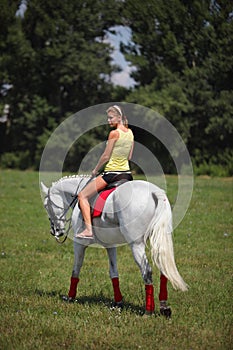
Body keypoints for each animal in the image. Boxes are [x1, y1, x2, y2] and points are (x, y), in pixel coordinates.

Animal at [41, 176, 188, 316]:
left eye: (46, 206)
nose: (55, 231)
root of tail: (155, 192)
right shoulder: (110, 246)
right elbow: (113, 273)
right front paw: (118, 302)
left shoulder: (79, 244)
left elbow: (75, 270)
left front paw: (70, 297)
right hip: (160, 239)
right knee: (164, 268)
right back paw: (164, 308)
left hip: (136, 245)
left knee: (147, 272)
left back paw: (148, 311)